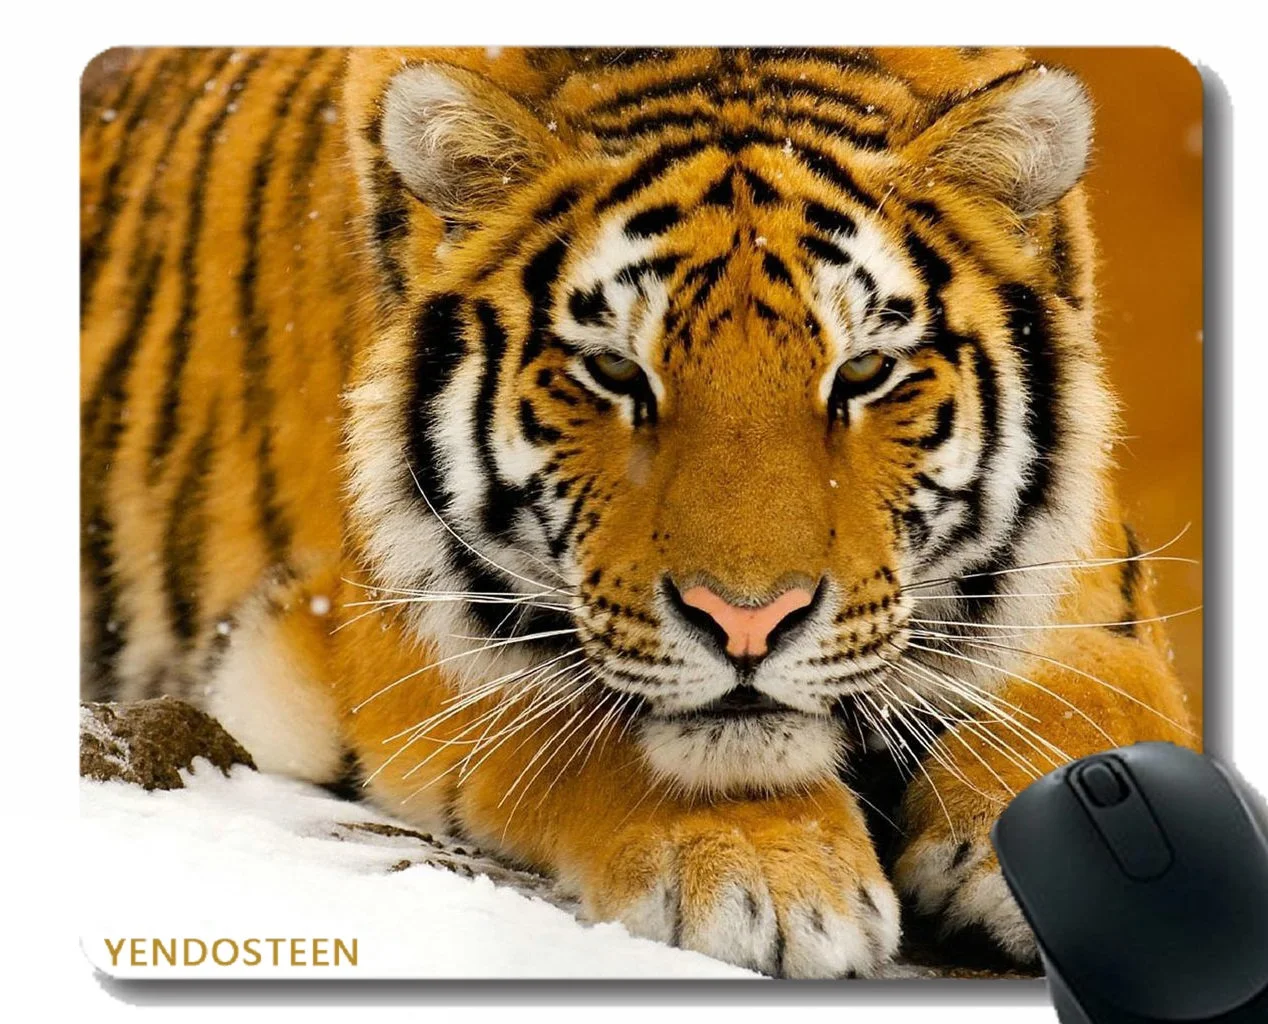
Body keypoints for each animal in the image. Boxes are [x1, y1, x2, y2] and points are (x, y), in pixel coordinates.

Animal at [81, 46, 1195, 978]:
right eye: (616, 374)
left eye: (863, 373)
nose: (748, 622)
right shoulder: (373, 623)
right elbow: (586, 718)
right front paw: (762, 870)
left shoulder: (1087, 583)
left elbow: (1102, 695)